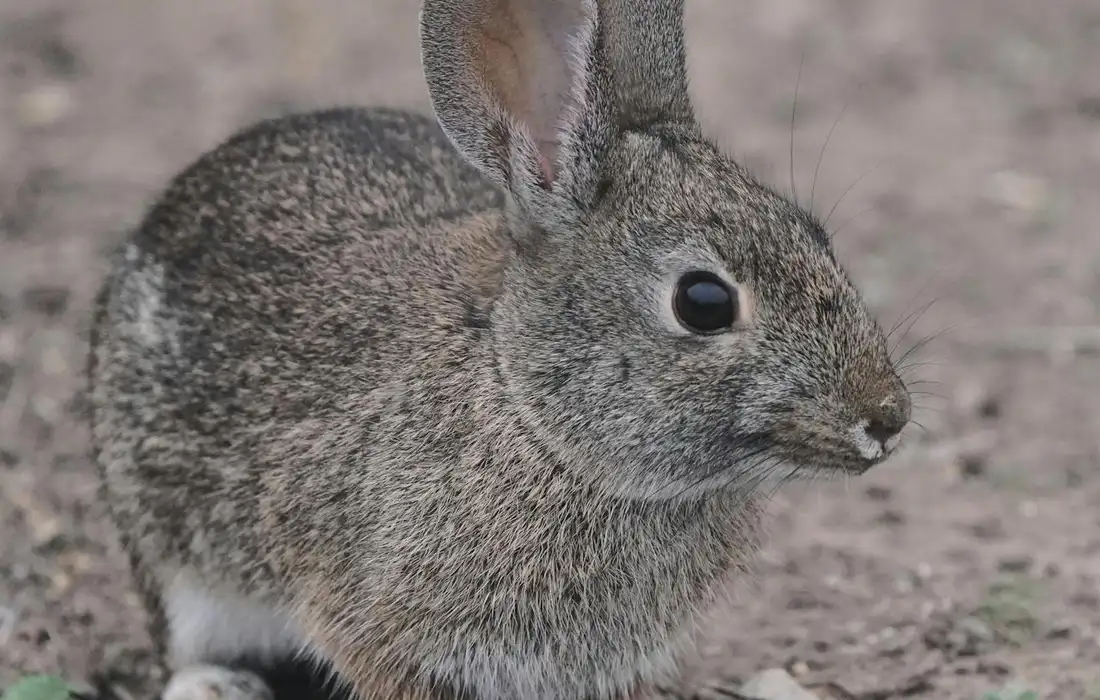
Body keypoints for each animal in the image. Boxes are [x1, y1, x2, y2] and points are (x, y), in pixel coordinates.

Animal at [86, 0, 912, 698]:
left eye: (814, 232)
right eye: (703, 302)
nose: (888, 418)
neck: (532, 411)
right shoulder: (375, 626)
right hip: (174, 557)